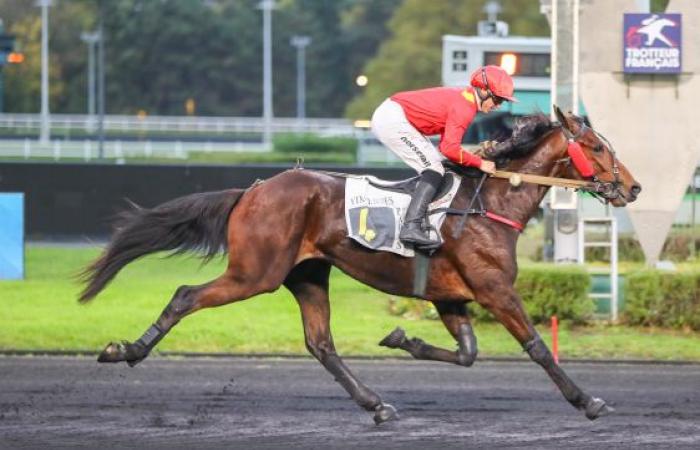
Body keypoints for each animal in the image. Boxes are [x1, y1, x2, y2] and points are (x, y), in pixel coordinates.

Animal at [80, 106, 640, 426]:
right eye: (595, 147)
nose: (632, 187)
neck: (490, 203)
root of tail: (253, 189)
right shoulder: (494, 290)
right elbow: (539, 348)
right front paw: (587, 401)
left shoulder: (452, 297)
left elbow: (467, 355)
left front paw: (401, 338)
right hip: (255, 274)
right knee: (185, 296)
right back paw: (125, 350)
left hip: (306, 275)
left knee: (321, 343)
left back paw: (376, 404)